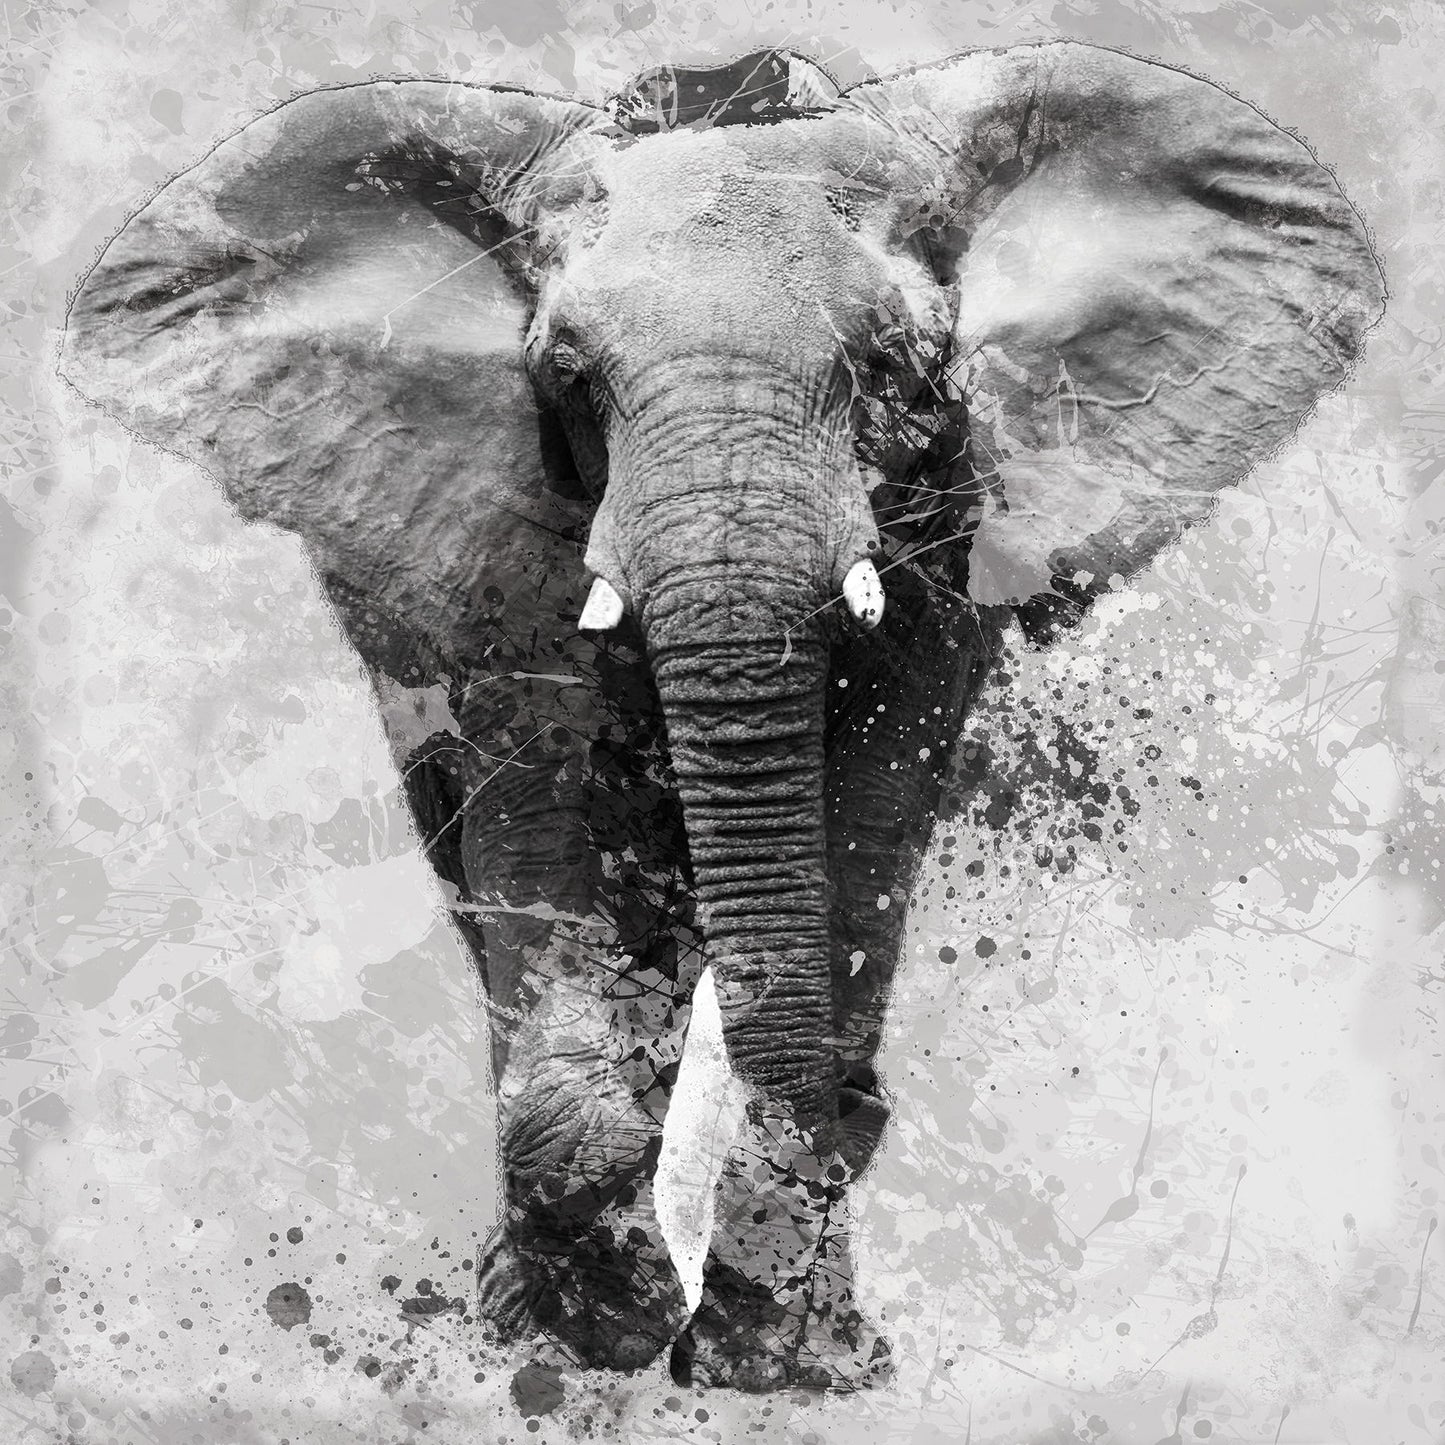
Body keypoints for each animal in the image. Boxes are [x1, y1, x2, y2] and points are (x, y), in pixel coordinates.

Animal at [59, 43, 1383, 1391]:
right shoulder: (505, 521)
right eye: (567, 375)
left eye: (895, 367)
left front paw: (779, 1350)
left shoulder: (951, 511)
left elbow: (868, 807)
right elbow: (537, 803)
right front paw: (582, 1326)